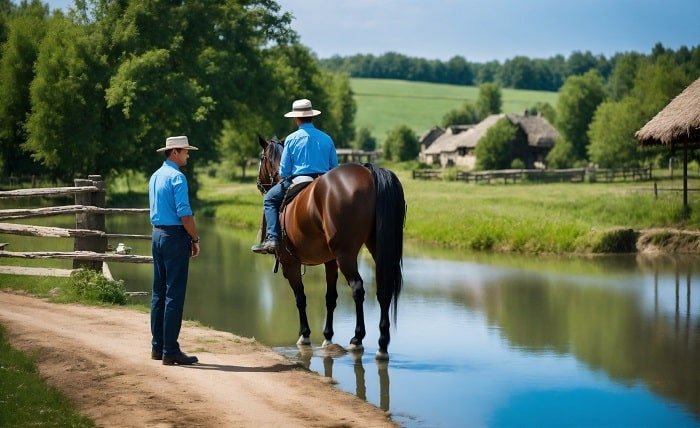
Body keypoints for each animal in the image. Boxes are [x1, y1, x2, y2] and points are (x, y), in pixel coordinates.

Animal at [256, 135, 404, 360]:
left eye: (262, 157)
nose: (259, 183)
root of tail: (369, 173)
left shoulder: (290, 264)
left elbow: (300, 298)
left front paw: (305, 335)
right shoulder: (330, 261)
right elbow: (330, 297)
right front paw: (327, 336)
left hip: (346, 255)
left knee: (357, 288)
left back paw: (357, 339)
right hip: (376, 249)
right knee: (382, 289)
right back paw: (382, 344)